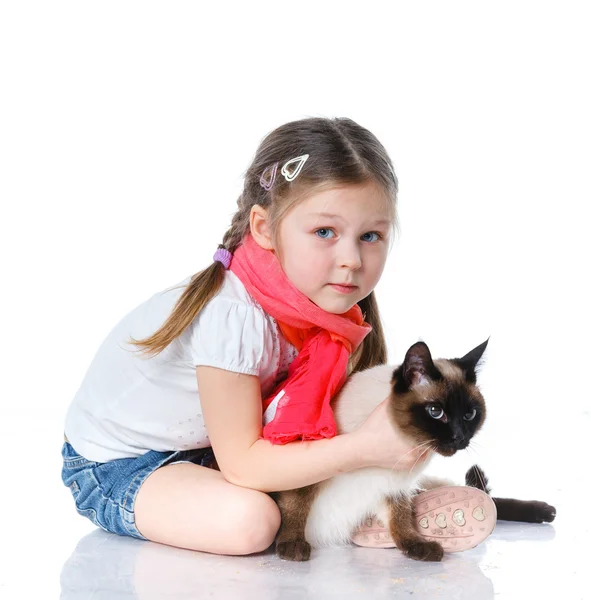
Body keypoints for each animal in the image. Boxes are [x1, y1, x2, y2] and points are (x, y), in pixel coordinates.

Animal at [270, 340, 556, 560]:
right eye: (436, 412)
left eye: (469, 415)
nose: (459, 438)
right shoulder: (308, 468)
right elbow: (296, 506)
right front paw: (292, 546)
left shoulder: (393, 488)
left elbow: (401, 521)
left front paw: (417, 547)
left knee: (487, 498)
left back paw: (545, 511)